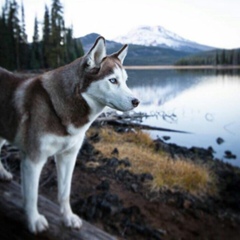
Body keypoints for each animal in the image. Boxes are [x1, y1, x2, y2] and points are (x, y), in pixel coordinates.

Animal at [0, 37, 139, 232]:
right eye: (112, 80)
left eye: (125, 81)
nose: (136, 101)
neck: (59, 109)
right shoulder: (33, 159)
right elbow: (32, 195)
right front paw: (34, 220)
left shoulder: (68, 156)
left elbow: (65, 193)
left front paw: (68, 217)